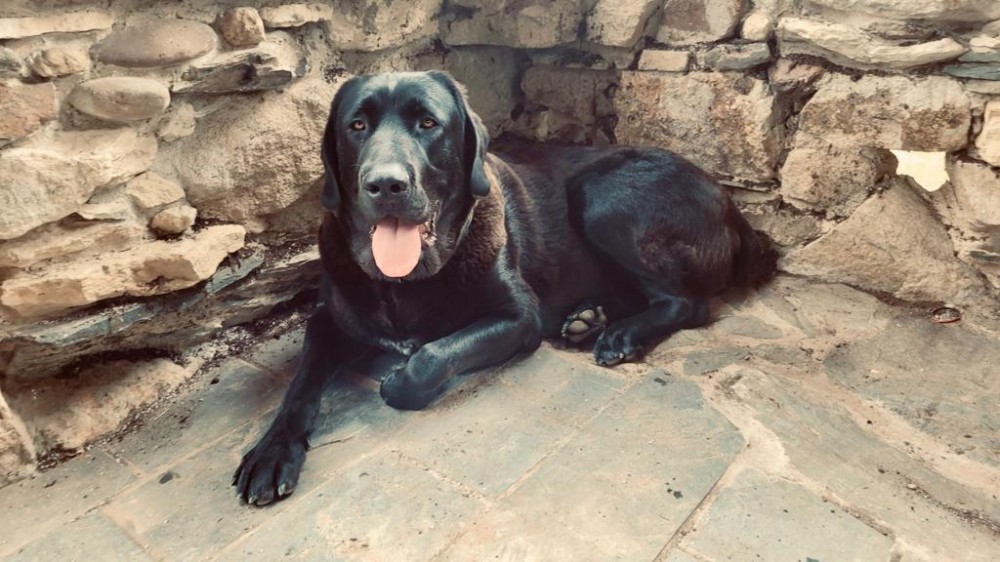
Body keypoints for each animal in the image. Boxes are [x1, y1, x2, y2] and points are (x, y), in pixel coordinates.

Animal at [233, 70, 774, 505]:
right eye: (357, 126)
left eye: (427, 123)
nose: (385, 184)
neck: (406, 282)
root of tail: (733, 206)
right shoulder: (327, 320)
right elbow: (300, 386)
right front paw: (271, 452)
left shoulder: (519, 317)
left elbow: (430, 356)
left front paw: (399, 378)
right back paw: (588, 320)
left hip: (599, 195)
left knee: (687, 303)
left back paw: (618, 336)